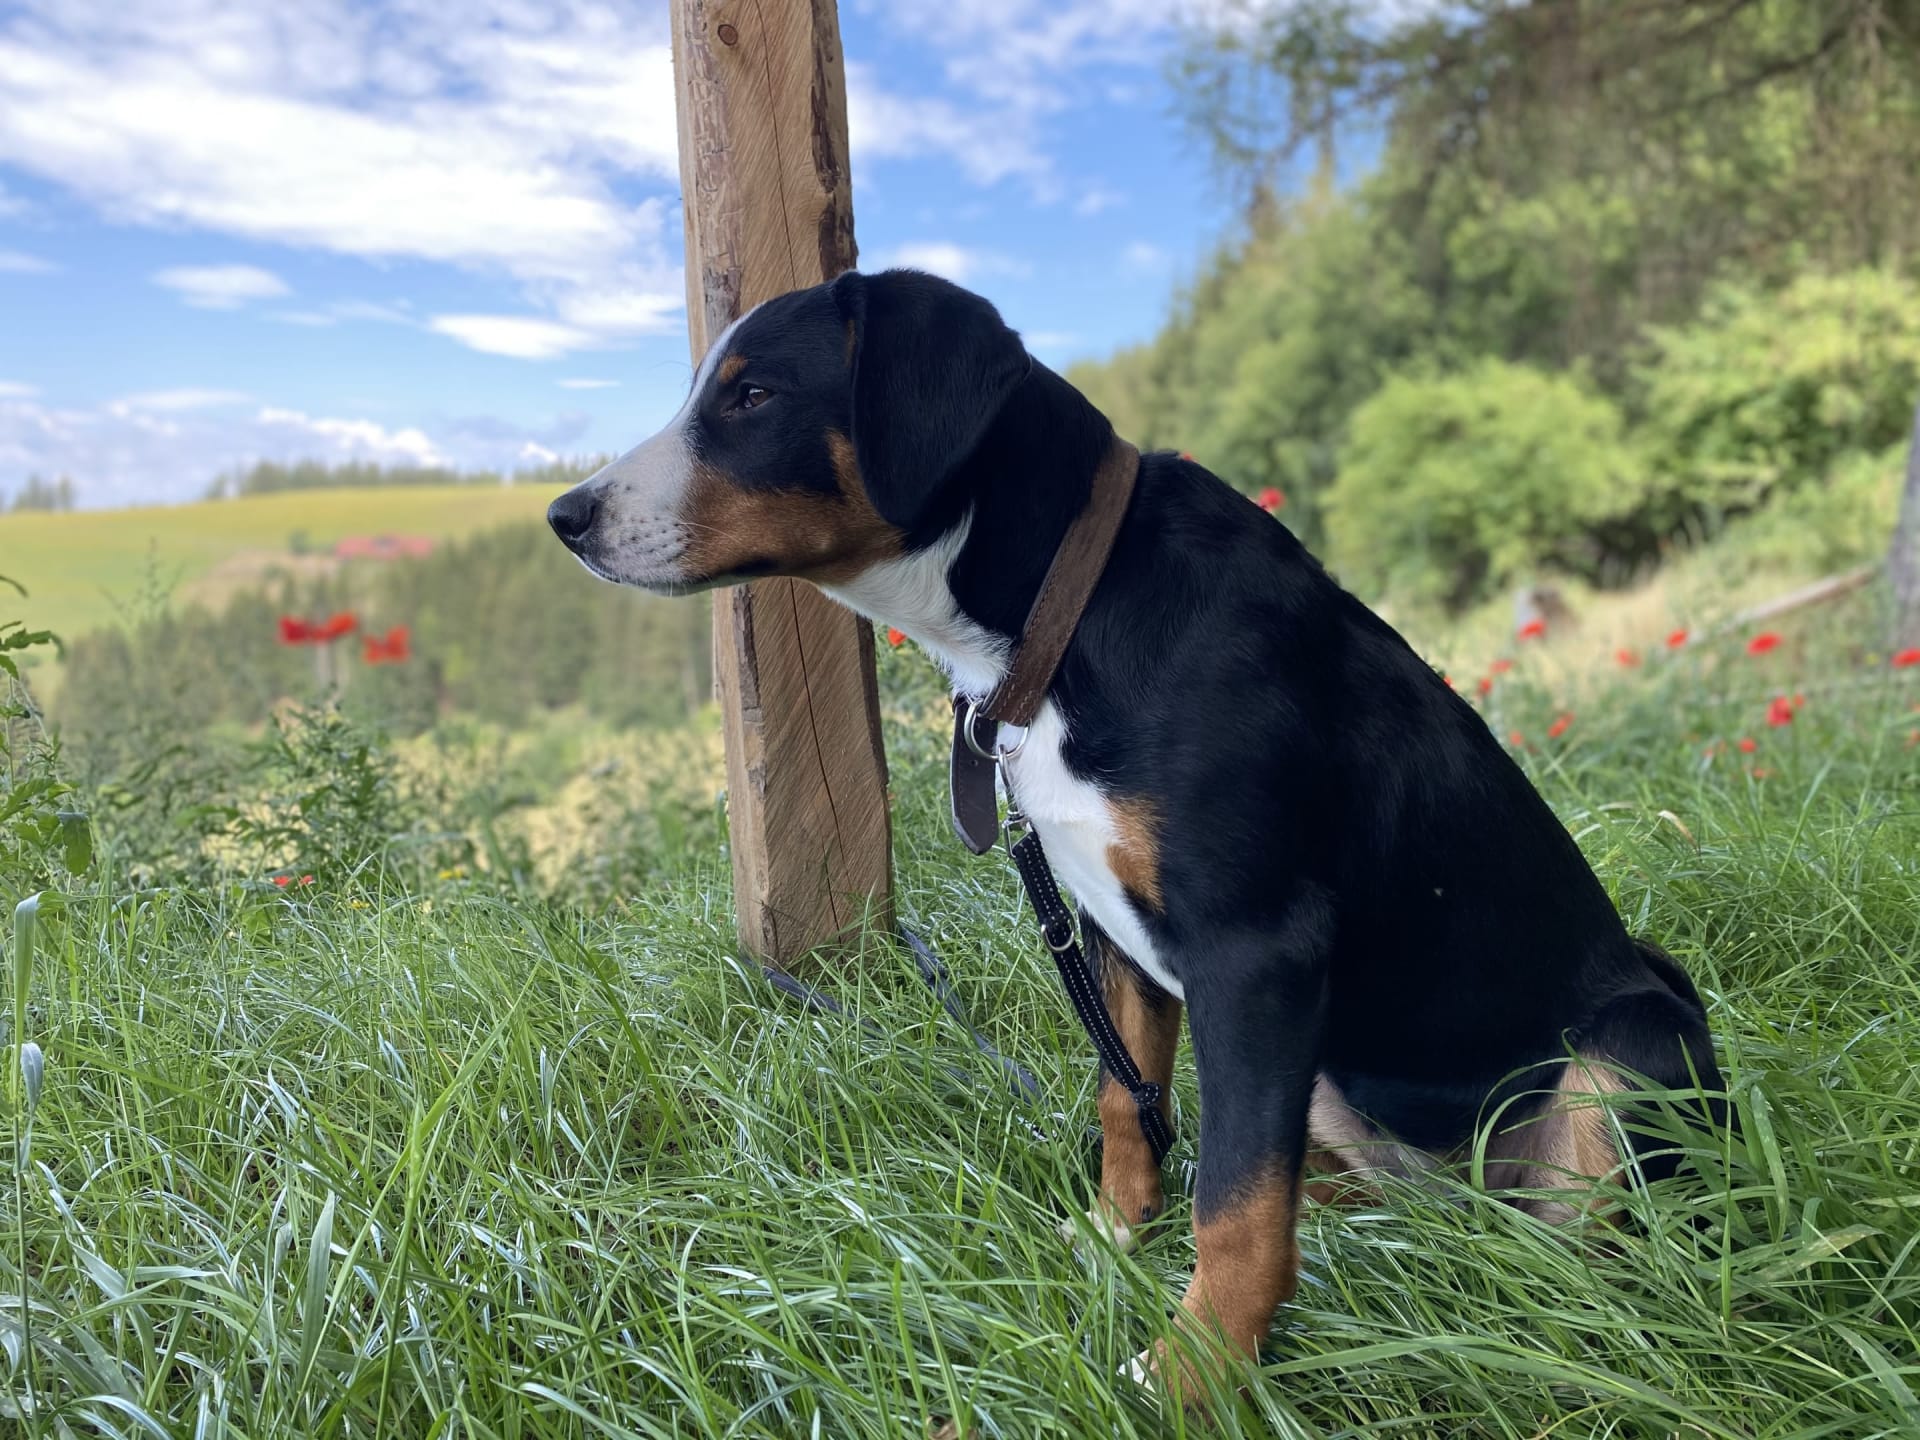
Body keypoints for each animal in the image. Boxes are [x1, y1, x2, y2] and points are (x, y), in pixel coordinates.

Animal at [547, 268, 1723, 1387]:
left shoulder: (1255, 951)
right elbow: (1132, 1103)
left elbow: (1238, 1209)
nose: (567, 516)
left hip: (1627, 1053)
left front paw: (1194, 1377)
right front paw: (1116, 1242)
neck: (1065, 620)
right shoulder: (1112, 932)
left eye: (754, 397)